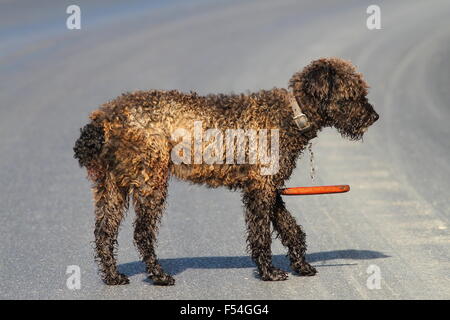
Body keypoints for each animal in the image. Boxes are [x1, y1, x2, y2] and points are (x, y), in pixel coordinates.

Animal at [74, 57, 380, 284]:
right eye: (352, 95)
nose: (375, 117)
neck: (292, 114)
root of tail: (105, 117)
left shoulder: (270, 187)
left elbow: (289, 228)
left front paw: (301, 265)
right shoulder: (261, 189)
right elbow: (261, 233)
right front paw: (269, 272)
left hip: (111, 186)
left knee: (104, 232)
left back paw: (113, 276)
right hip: (151, 182)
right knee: (142, 233)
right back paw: (159, 276)